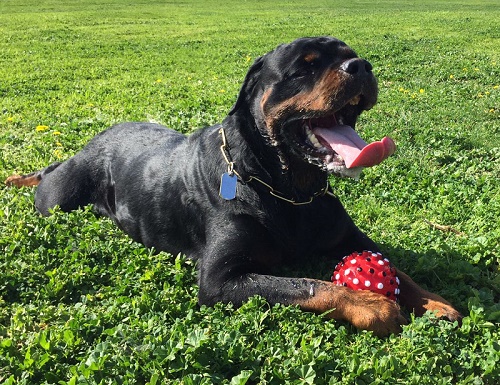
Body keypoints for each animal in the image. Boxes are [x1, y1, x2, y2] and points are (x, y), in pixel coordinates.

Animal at [6, 36, 460, 336]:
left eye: (351, 57)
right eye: (305, 68)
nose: (361, 66)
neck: (289, 189)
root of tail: (93, 142)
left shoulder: (349, 238)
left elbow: (398, 268)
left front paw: (434, 301)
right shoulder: (221, 279)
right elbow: (308, 284)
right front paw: (373, 305)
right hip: (59, 198)